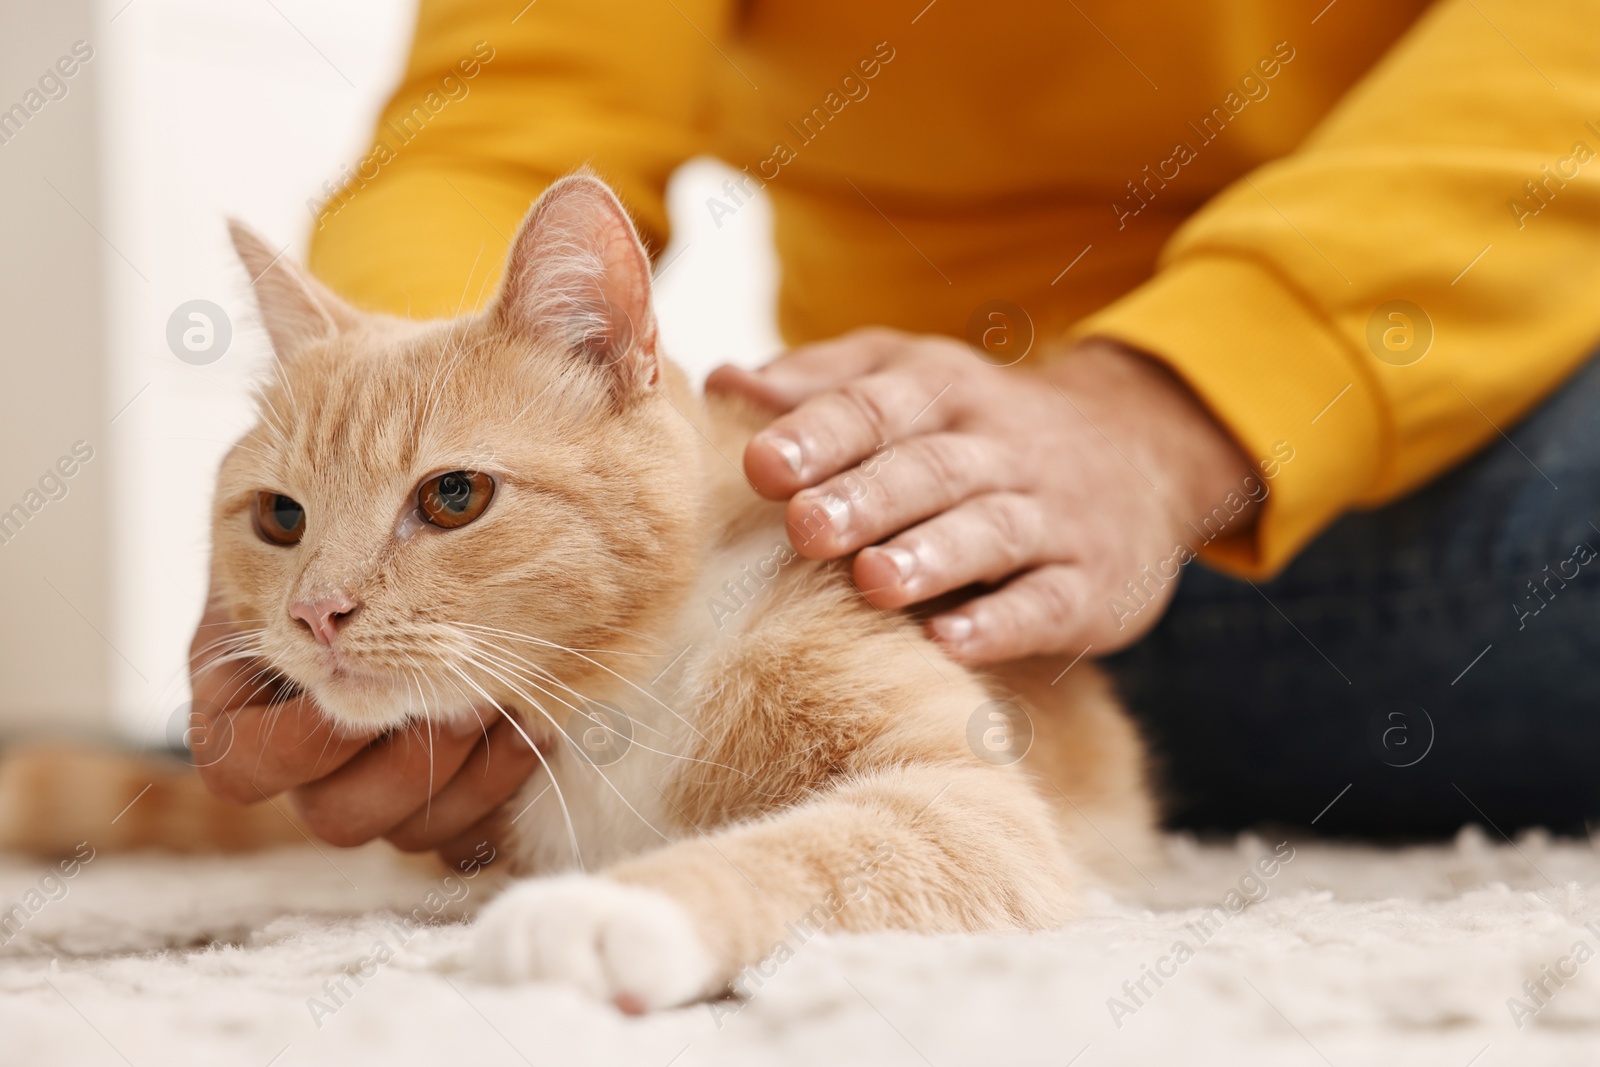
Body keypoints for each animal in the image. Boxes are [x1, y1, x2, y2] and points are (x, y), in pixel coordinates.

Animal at [212, 173, 1158, 1011]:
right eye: (281, 516)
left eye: (453, 496)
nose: (315, 610)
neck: (615, 701)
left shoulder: (971, 804)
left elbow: (808, 847)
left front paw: (611, 908)